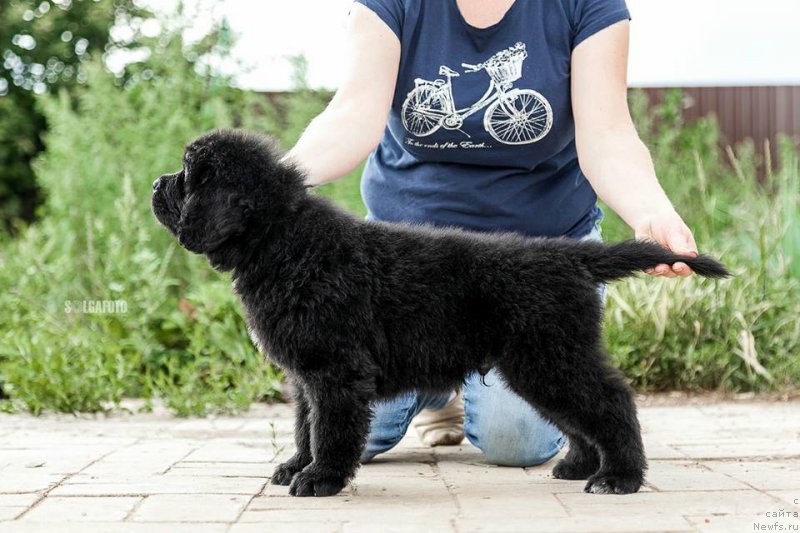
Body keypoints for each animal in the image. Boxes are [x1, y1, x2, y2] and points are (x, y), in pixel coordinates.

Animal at [152, 128, 732, 494]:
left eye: (189, 175)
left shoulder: (336, 371)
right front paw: (297, 464)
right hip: (541, 363)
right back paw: (576, 466)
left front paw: (320, 479)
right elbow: (304, 425)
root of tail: (569, 255)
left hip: (548, 357)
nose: (157, 183)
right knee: (580, 416)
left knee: (611, 403)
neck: (283, 243)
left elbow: (331, 430)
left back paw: (620, 478)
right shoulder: (307, 373)